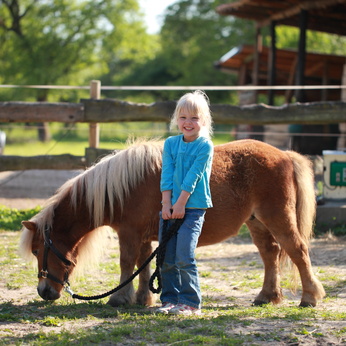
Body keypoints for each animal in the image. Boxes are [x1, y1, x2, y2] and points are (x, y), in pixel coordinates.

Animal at [20, 139, 326, 306]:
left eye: (37, 250)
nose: (44, 292)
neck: (120, 189)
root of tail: (284, 155)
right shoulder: (145, 236)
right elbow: (142, 266)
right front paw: (143, 299)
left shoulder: (129, 233)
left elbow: (126, 263)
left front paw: (119, 299)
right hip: (257, 223)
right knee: (270, 254)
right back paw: (267, 295)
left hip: (277, 217)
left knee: (298, 251)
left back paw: (309, 297)